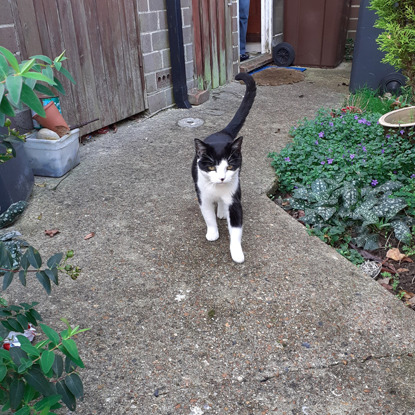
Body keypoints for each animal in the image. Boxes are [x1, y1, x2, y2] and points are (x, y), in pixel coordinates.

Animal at [192, 73, 256, 264]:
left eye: (229, 166)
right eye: (211, 166)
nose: (221, 178)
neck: (217, 188)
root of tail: (223, 133)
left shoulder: (234, 199)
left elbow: (236, 229)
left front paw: (237, 252)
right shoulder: (203, 196)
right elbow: (208, 217)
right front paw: (212, 233)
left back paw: (221, 211)